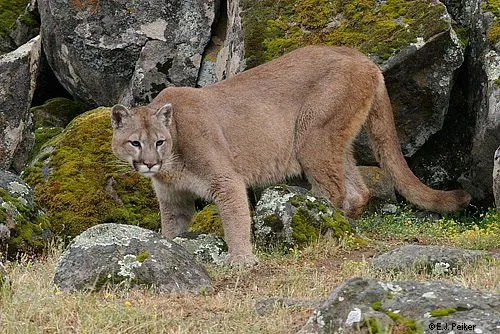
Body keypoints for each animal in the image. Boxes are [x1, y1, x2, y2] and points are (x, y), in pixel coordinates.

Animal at [110, 45, 472, 266]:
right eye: (135, 143)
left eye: (159, 142)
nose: (149, 163)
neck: (171, 164)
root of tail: (362, 57)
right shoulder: (173, 199)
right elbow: (172, 230)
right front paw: (170, 248)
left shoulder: (225, 180)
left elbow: (235, 217)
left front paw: (241, 260)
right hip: (332, 141)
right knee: (357, 190)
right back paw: (347, 226)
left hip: (312, 136)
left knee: (333, 191)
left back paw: (317, 225)